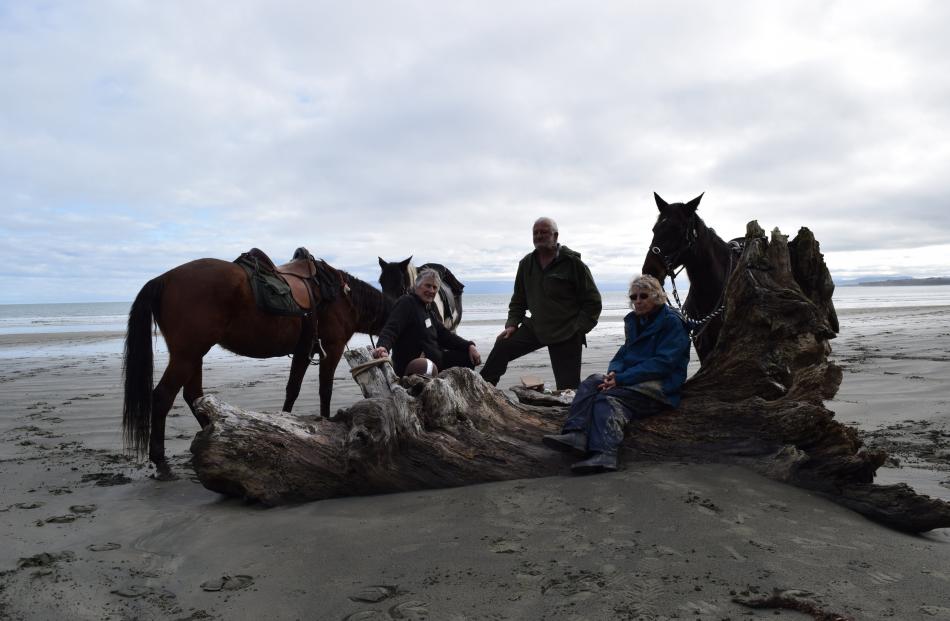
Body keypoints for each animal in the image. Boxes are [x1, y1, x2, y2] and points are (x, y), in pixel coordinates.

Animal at [122, 249, 390, 478]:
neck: (344, 297)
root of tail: (164, 278)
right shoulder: (333, 348)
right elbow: (325, 389)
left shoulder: (304, 351)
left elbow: (293, 389)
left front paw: (285, 426)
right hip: (186, 355)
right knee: (162, 397)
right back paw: (161, 461)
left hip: (193, 355)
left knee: (193, 395)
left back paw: (213, 433)